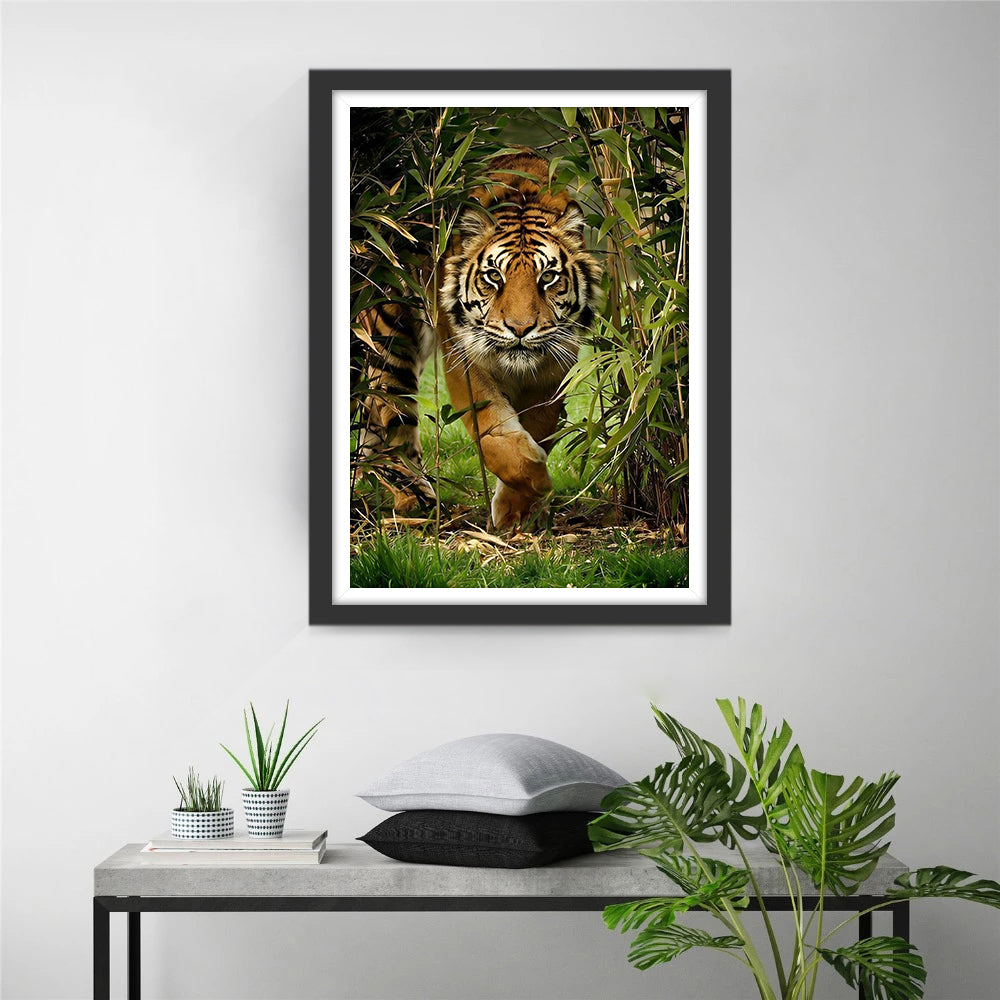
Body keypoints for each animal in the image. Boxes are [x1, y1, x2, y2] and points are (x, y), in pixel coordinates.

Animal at [353, 151, 602, 530]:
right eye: (494, 276)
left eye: (547, 277)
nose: (520, 328)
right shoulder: (464, 357)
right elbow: (492, 433)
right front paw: (536, 480)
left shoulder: (554, 365)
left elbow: (539, 426)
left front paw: (519, 511)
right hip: (390, 336)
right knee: (390, 415)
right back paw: (413, 499)